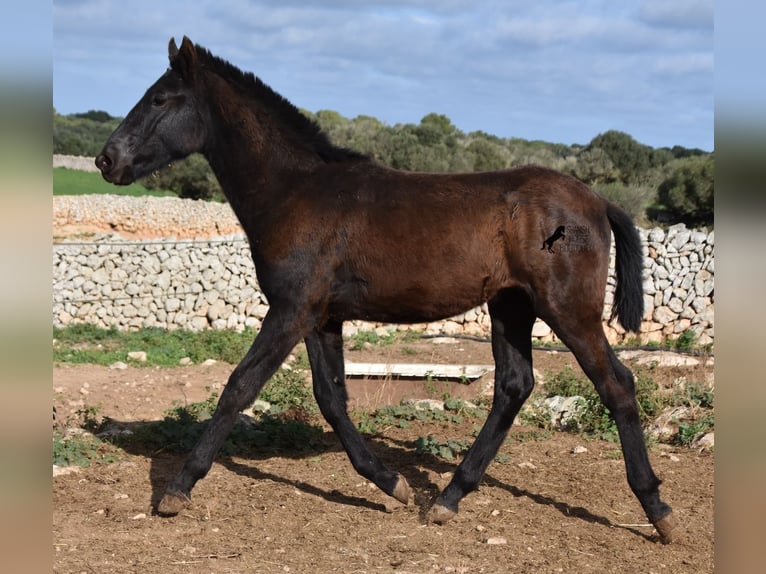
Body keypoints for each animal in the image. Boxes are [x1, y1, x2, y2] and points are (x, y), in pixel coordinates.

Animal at [96, 37, 680, 544]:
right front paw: (392, 484)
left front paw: (176, 489)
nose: (107, 160)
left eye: (161, 98)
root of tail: (598, 201)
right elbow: (331, 399)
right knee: (514, 387)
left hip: (567, 310)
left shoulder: (290, 310)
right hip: (511, 306)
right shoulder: (319, 316)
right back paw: (447, 498)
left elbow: (239, 387)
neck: (297, 192)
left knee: (617, 385)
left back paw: (658, 510)